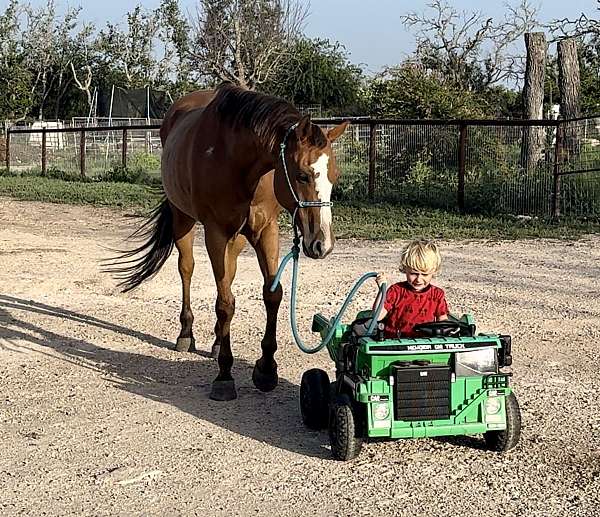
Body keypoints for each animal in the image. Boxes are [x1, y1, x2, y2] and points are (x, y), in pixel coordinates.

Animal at [110, 82, 350, 402]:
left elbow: (271, 295)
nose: (322, 243)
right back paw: (186, 334)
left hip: (236, 240)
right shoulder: (216, 232)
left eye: (335, 175)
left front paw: (266, 369)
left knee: (229, 274)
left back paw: (215, 341)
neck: (240, 161)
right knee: (187, 268)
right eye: (302, 175)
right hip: (183, 218)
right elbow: (224, 303)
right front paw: (224, 375)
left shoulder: (265, 231)